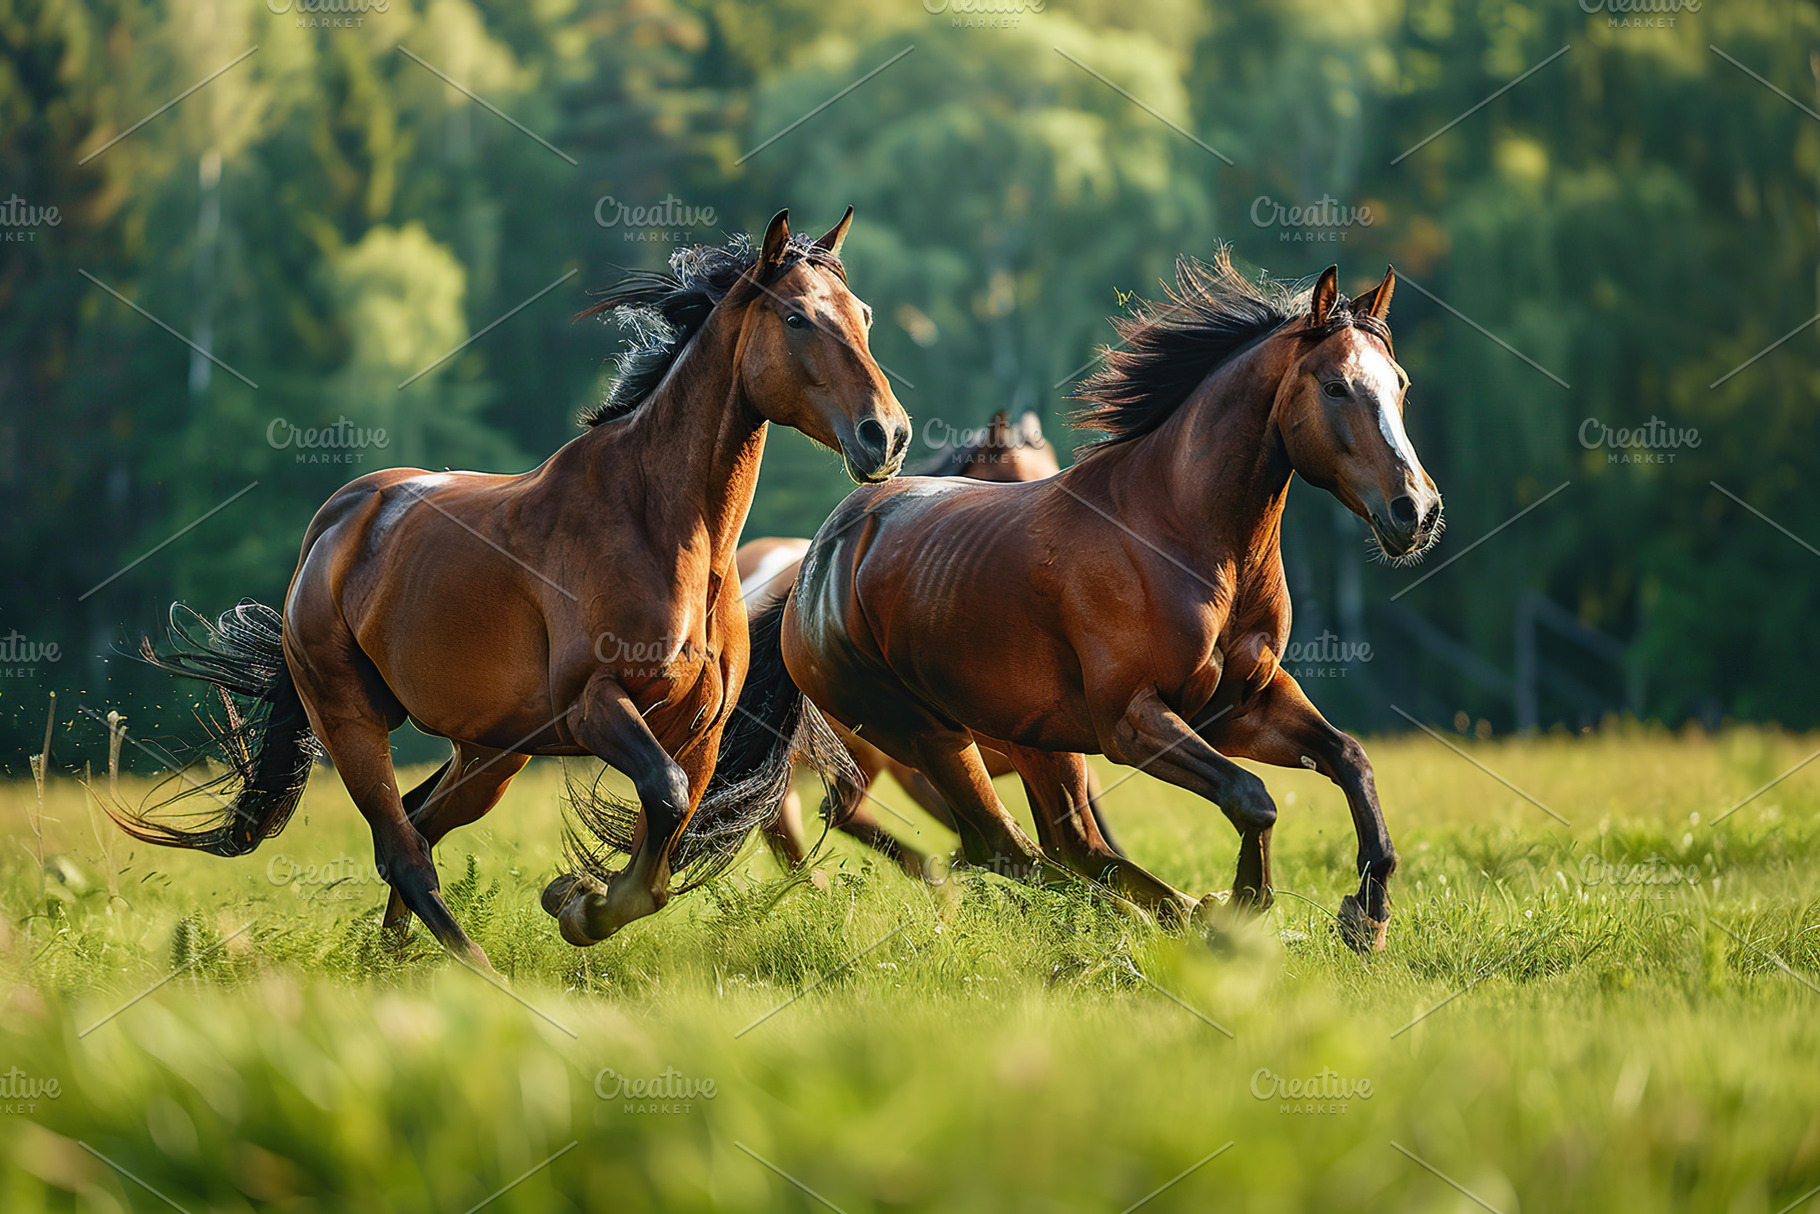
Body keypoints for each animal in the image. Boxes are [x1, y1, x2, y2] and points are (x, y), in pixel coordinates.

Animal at [109, 209, 909, 966]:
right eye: (797, 317)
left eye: (865, 314)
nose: (887, 436)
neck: (668, 531)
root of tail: (335, 524)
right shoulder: (595, 707)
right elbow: (661, 812)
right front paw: (576, 905)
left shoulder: (701, 732)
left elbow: (663, 849)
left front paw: (577, 896)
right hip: (350, 716)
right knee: (401, 847)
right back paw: (471, 966)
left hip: (490, 752)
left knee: (418, 824)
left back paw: (391, 961)